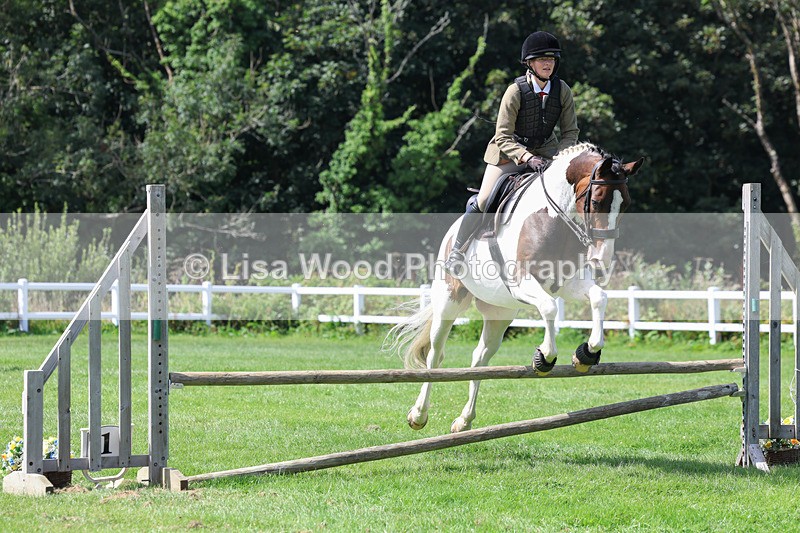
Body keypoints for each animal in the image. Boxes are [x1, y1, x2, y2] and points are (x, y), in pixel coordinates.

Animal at [387, 142, 644, 433]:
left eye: (626, 205)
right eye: (598, 201)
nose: (602, 259)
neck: (554, 219)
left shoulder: (567, 283)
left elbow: (599, 297)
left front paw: (587, 353)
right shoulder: (521, 282)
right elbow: (549, 308)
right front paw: (545, 357)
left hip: (499, 312)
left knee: (480, 358)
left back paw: (464, 421)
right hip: (448, 302)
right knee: (435, 356)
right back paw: (418, 415)